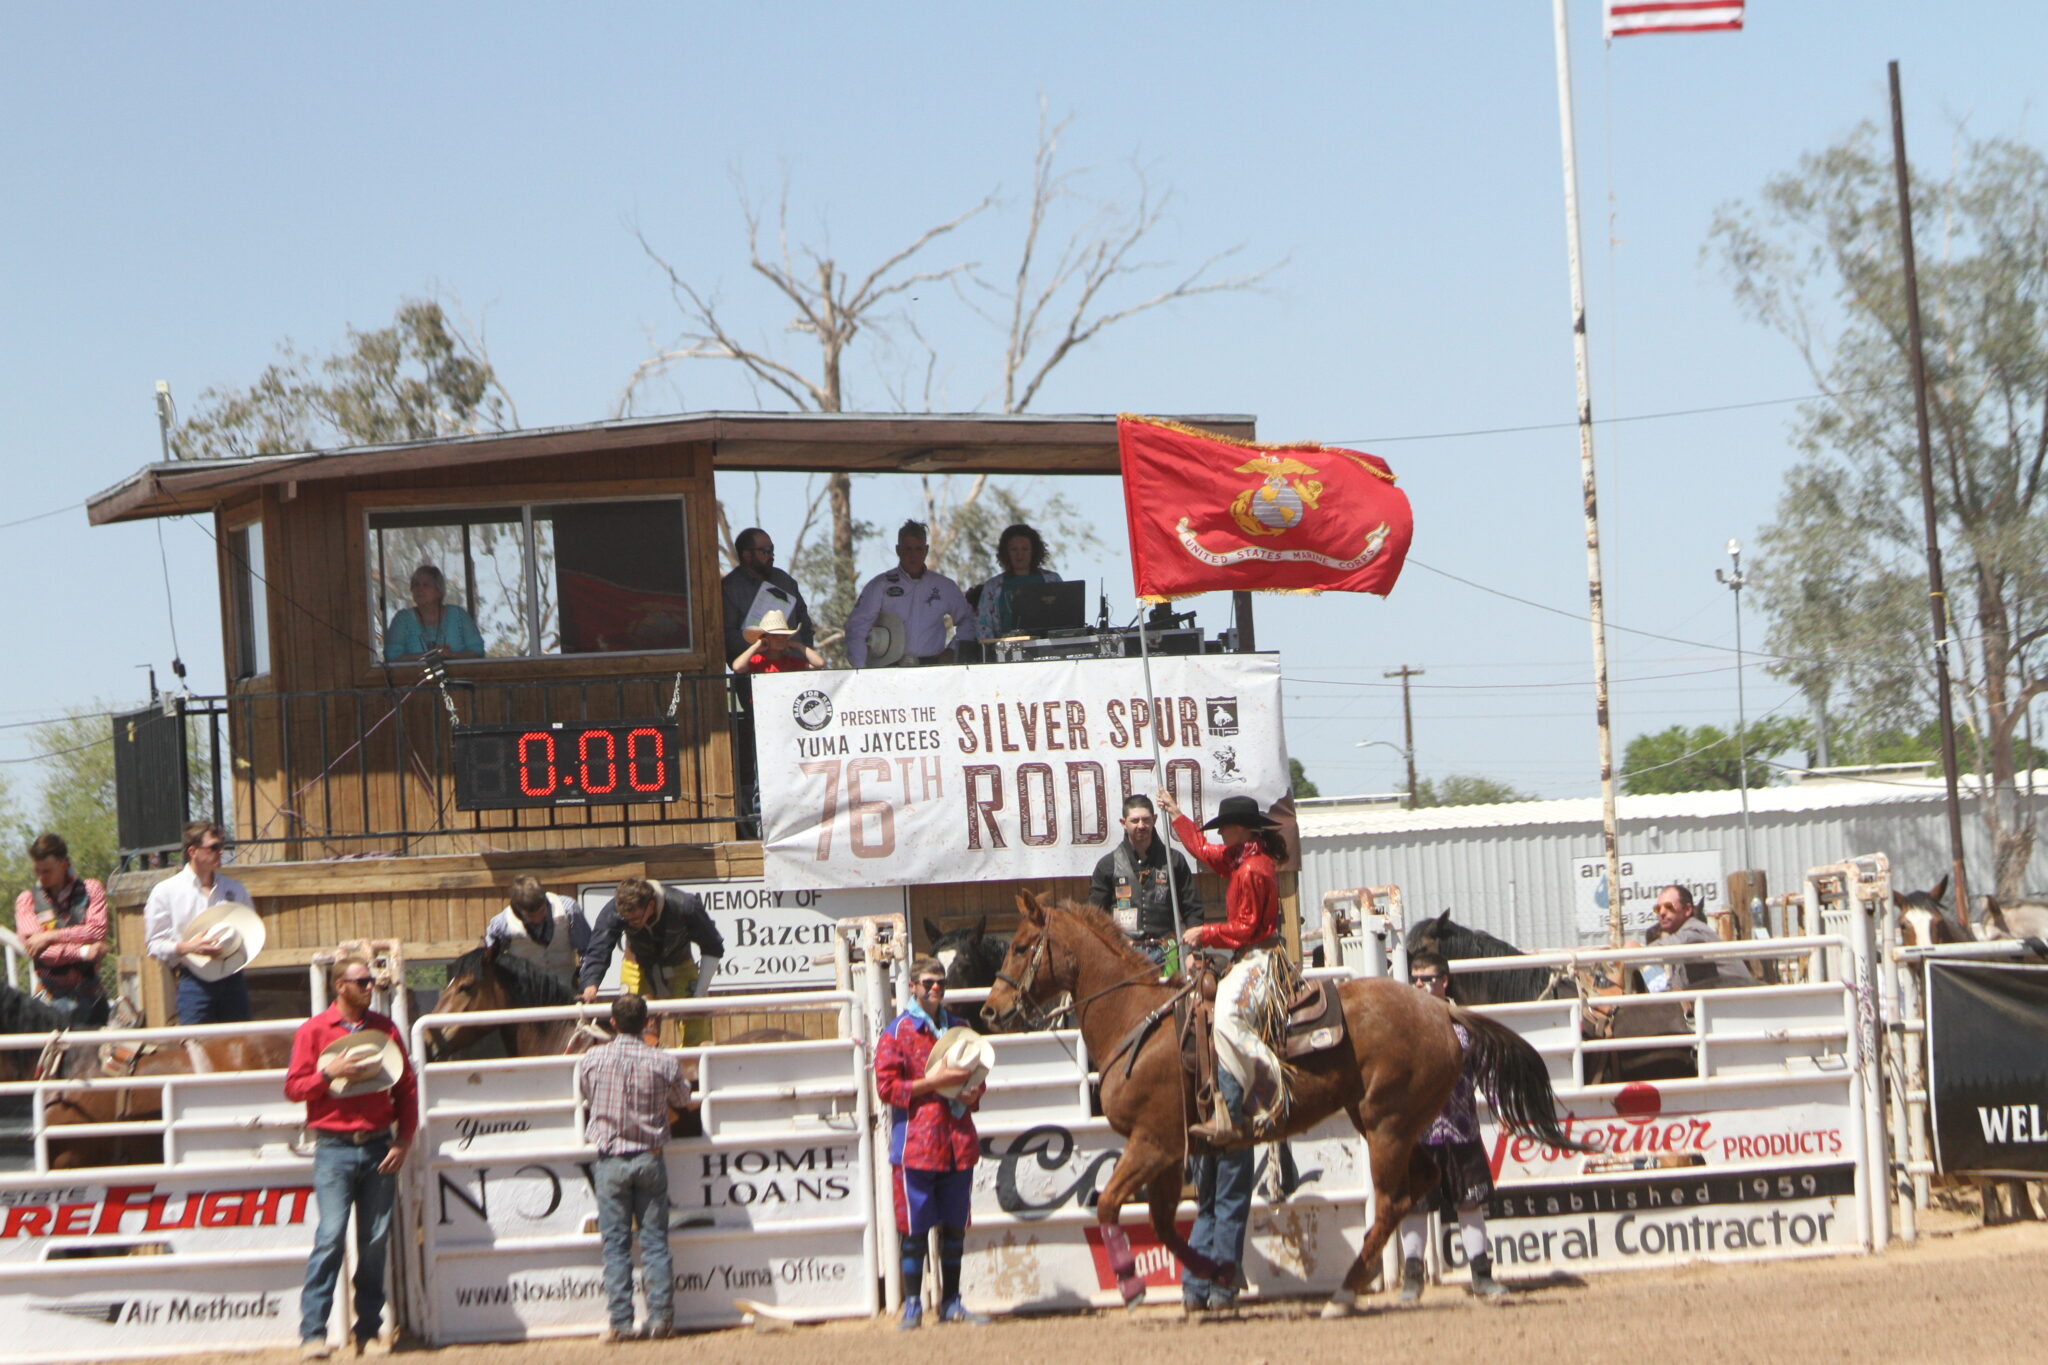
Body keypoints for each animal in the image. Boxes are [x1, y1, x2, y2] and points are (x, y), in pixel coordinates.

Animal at [983, 892, 1589, 1317]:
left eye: (1020, 946)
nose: (990, 1011)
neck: (1138, 1022)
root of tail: (1441, 1011)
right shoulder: (1171, 1151)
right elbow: (1162, 1223)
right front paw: (1220, 1276)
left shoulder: (1153, 1143)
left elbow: (1110, 1205)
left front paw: (1134, 1288)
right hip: (1390, 1122)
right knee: (1418, 1187)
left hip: (1387, 1125)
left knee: (1393, 1200)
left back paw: (1343, 1294)